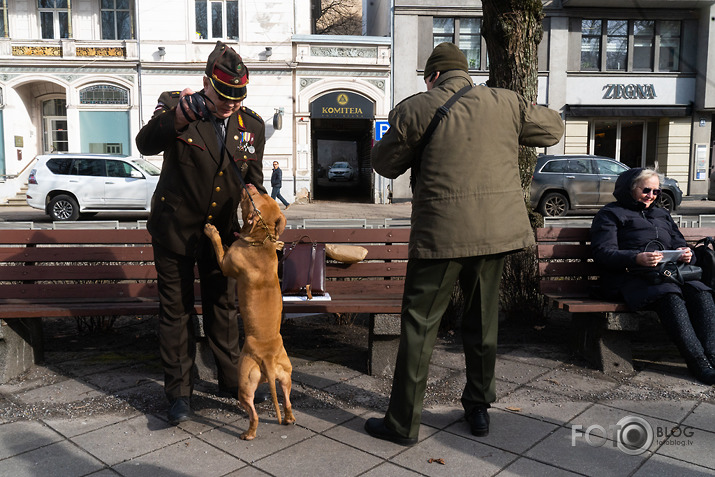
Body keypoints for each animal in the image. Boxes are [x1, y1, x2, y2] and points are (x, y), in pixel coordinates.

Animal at [204, 182, 296, 438]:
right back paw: (289, 418)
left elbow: (219, 247)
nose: (250, 183)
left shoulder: (225, 264)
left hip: (245, 383)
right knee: (287, 401)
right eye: (262, 193)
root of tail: (268, 360)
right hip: (286, 376)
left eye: (252, 196)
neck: (260, 239)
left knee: (253, 413)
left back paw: (248, 433)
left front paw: (212, 232)